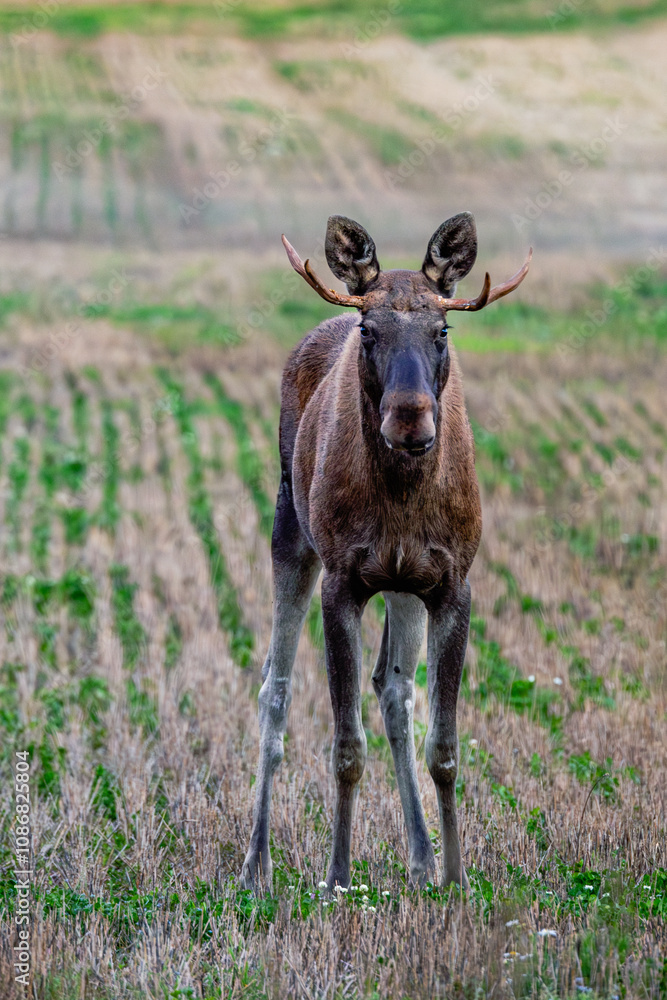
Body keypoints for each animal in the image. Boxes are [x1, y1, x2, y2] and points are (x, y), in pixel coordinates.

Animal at [241, 213, 531, 892]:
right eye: (370, 330)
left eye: (443, 329)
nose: (409, 418)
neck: (401, 498)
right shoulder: (341, 580)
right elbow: (346, 747)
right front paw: (337, 875)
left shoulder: (451, 581)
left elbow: (443, 746)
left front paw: (455, 876)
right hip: (290, 529)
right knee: (274, 686)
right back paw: (256, 860)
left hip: (403, 586)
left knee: (393, 690)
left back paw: (421, 856)